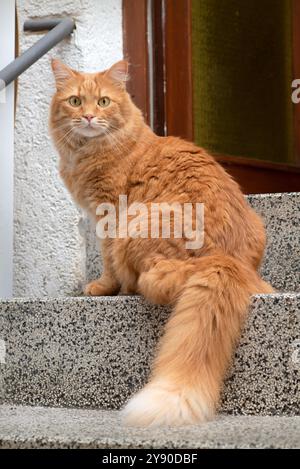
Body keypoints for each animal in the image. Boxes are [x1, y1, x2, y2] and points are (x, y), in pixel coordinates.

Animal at [50, 59, 274, 428]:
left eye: (103, 102)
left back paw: (129, 288)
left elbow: (107, 260)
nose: (88, 117)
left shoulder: (108, 213)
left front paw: (104, 287)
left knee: (148, 280)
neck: (89, 151)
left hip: (138, 225)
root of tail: (229, 261)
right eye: (75, 101)